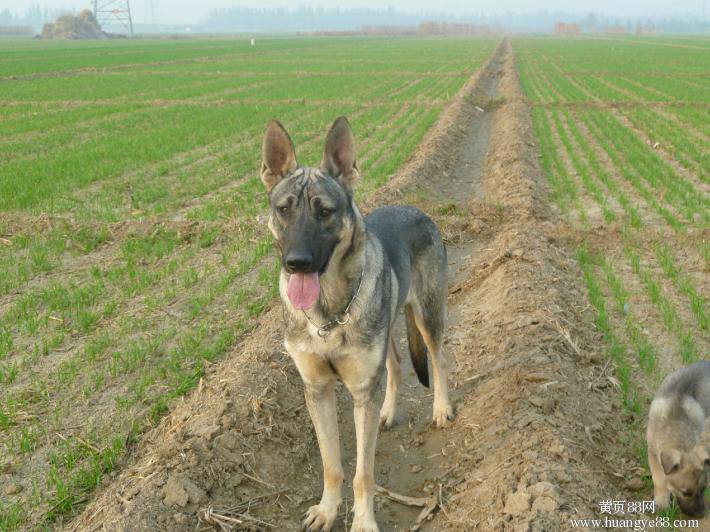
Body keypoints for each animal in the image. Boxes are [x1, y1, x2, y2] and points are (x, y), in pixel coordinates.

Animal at [262, 117, 456, 532]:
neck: (327, 311)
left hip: (428, 317)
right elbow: (331, 464)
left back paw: (441, 408)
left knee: (438, 360)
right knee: (396, 364)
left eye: (324, 212)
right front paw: (327, 510)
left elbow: (362, 473)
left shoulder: (362, 390)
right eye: (284, 209)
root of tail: (416, 208)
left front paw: (364, 522)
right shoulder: (317, 389)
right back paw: (388, 412)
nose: (296, 263)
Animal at [652, 360, 710, 516]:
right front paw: (662, 501)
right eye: (685, 493)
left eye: (703, 489)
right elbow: (658, 478)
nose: (701, 515)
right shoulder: (652, 452)